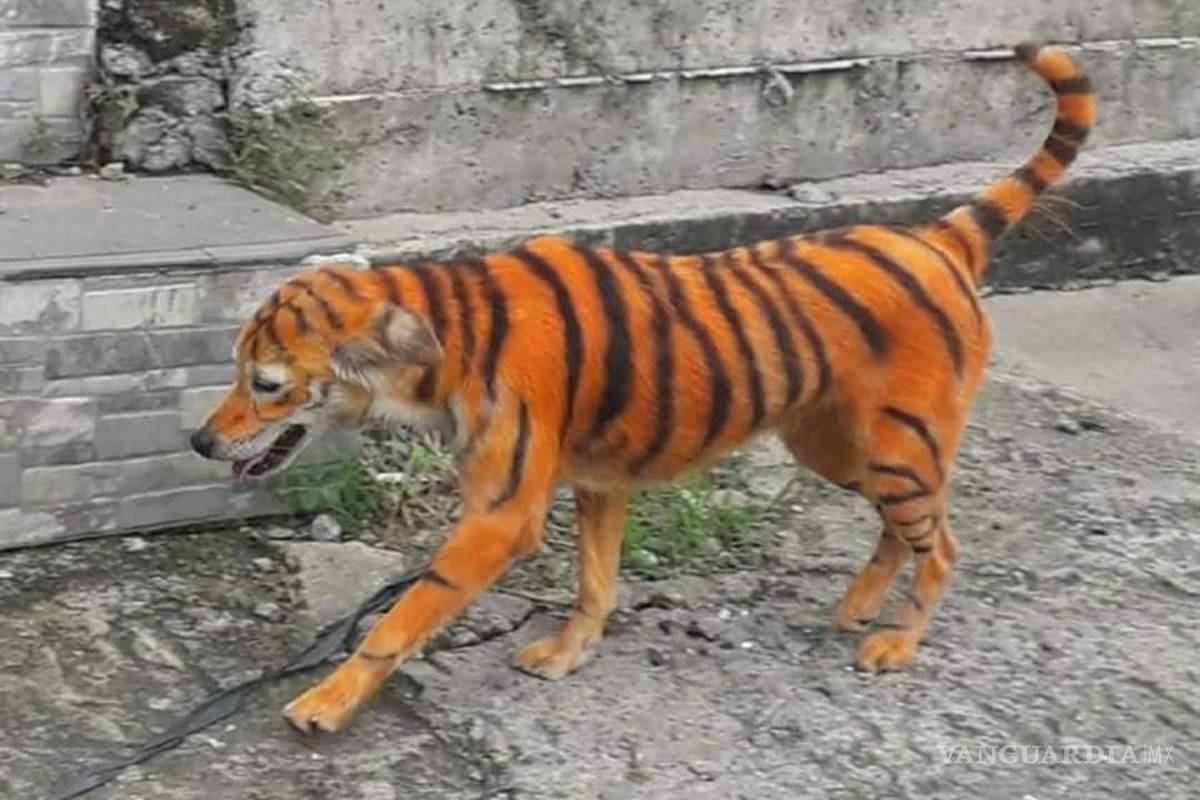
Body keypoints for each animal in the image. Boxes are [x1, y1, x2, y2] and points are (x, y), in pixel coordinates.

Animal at [190, 43, 1095, 734]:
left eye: (266, 383)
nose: (200, 441)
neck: (443, 338)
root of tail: (939, 235)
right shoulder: (598, 482)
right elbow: (596, 582)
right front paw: (566, 654)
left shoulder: (503, 514)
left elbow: (402, 616)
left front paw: (325, 702)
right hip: (839, 445)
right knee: (904, 529)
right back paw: (858, 608)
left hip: (898, 446)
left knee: (942, 543)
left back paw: (895, 643)